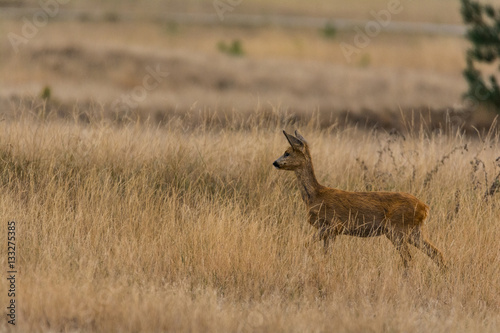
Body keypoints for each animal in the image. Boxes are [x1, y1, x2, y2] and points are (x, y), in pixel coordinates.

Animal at [274, 130, 446, 270]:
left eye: (287, 153)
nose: (275, 163)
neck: (315, 195)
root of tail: (425, 207)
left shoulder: (332, 225)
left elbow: (305, 244)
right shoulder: (332, 232)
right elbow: (327, 255)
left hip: (397, 229)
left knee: (409, 259)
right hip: (414, 231)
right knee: (437, 253)